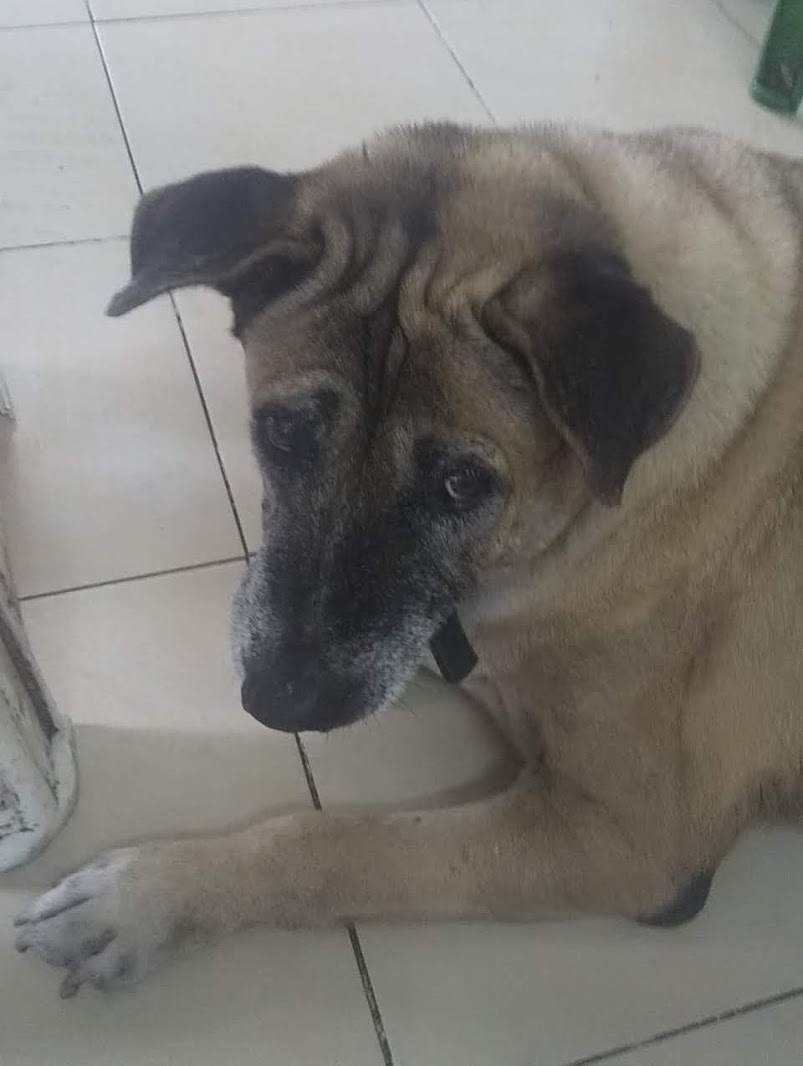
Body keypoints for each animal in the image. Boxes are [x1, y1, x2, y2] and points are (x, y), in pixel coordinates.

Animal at [14, 121, 803, 998]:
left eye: (460, 483)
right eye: (283, 431)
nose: (279, 701)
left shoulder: (629, 840)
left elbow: (338, 843)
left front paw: (148, 898)